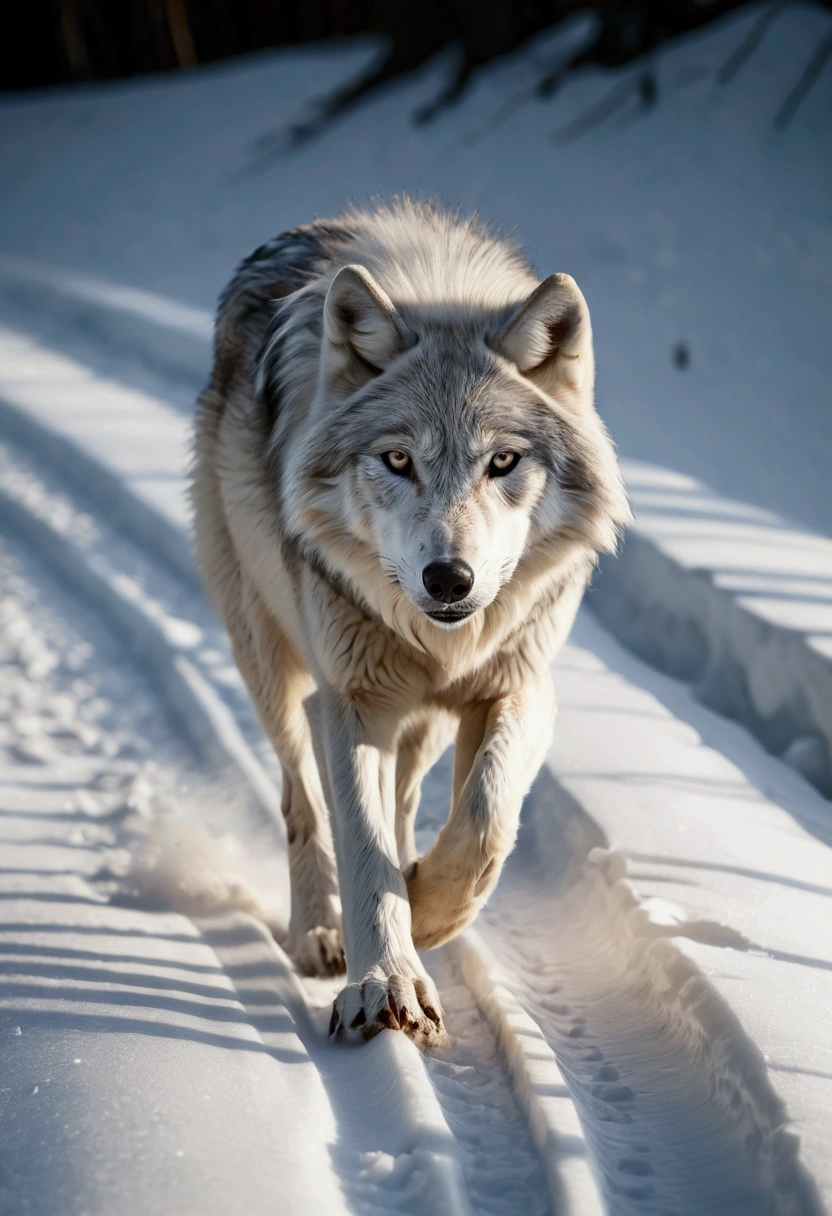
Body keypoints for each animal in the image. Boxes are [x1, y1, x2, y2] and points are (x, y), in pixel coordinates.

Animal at [189, 199, 632, 1045]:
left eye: (502, 462)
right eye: (398, 460)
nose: (449, 578)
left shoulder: (518, 685)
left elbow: (485, 818)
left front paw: (426, 910)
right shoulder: (350, 701)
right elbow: (361, 847)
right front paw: (383, 986)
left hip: (416, 722)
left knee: (401, 800)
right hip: (272, 664)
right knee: (301, 800)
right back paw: (317, 933)